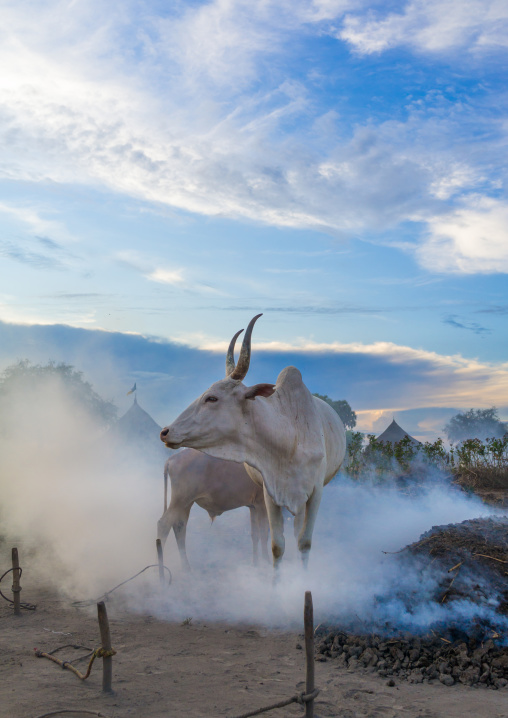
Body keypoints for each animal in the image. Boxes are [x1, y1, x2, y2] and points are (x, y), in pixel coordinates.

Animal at [160, 314, 347, 570]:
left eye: (212, 398)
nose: (166, 432)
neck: (290, 439)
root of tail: (170, 461)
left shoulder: (312, 494)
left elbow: (301, 542)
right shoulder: (268, 496)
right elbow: (274, 543)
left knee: (175, 525)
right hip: (182, 500)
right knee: (167, 524)